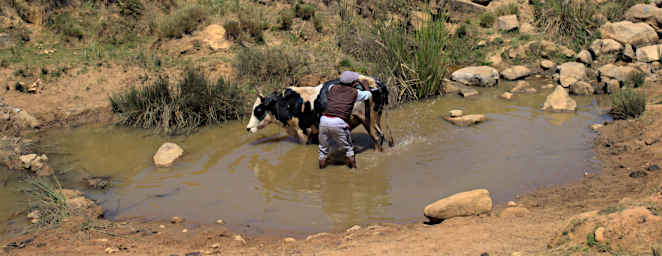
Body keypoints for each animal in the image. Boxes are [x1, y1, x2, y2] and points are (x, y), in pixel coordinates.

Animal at [248, 75, 394, 152]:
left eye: (258, 110)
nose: (248, 128)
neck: (288, 103)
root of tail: (375, 82)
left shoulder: (302, 132)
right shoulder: (314, 131)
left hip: (367, 121)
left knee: (377, 139)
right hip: (377, 118)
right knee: (382, 136)